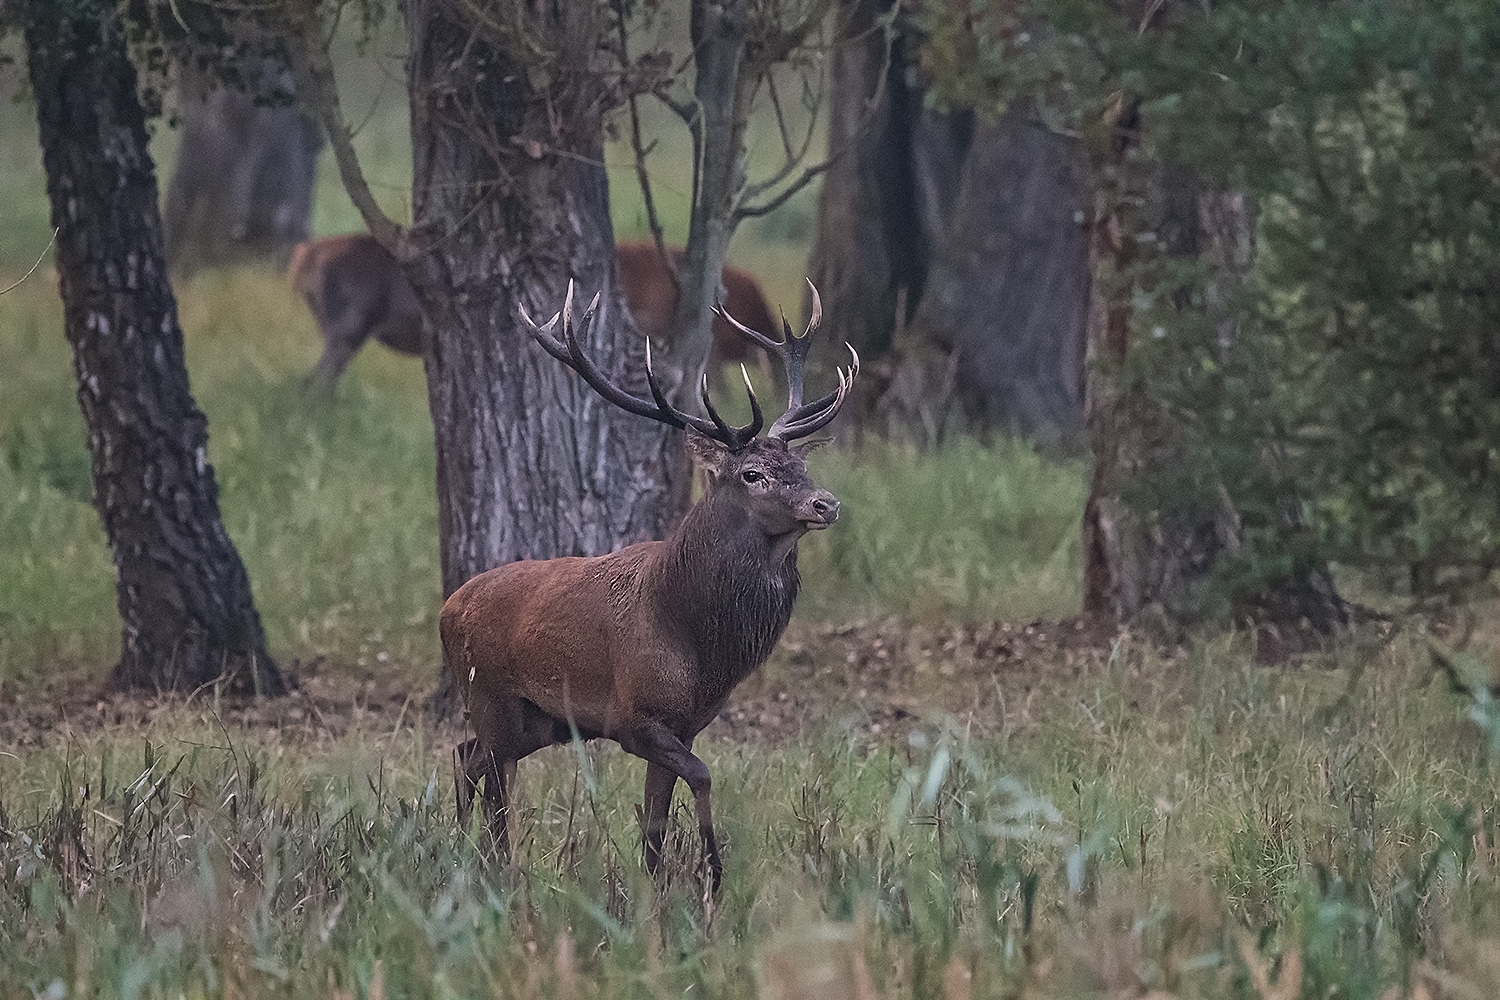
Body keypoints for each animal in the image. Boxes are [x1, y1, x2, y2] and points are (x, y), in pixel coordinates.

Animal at [438, 280, 858, 893]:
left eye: (800, 469)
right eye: (751, 473)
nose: (825, 503)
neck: (698, 642)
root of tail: (447, 609)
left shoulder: (685, 725)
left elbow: (656, 826)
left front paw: (658, 892)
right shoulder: (634, 718)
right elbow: (702, 779)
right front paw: (712, 876)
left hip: (536, 720)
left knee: (465, 757)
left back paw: (465, 856)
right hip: (489, 695)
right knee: (490, 780)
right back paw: (493, 868)